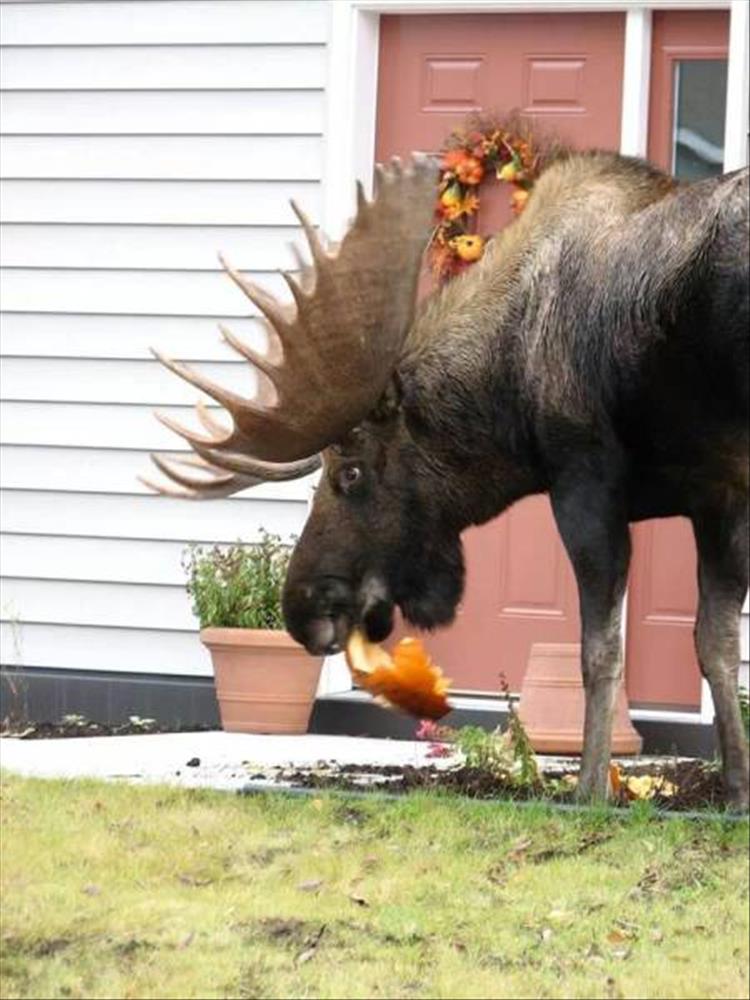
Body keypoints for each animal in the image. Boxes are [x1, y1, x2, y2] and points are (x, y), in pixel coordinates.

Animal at [145, 146, 750, 804]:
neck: (507, 396)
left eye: (350, 473)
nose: (301, 605)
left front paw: (590, 791)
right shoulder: (720, 496)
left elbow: (601, 654)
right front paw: (737, 790)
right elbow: (715, 644)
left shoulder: (585, 482)